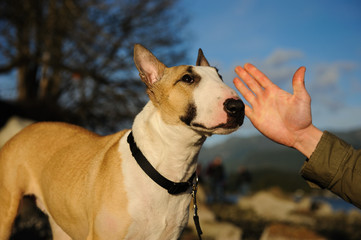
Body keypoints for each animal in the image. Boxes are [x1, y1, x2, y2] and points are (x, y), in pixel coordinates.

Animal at [0, 44, 243, 239]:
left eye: (220, 77)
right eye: (187, 79)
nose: (238, 107)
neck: (165, 169)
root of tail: (21, 131)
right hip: (6, 213)